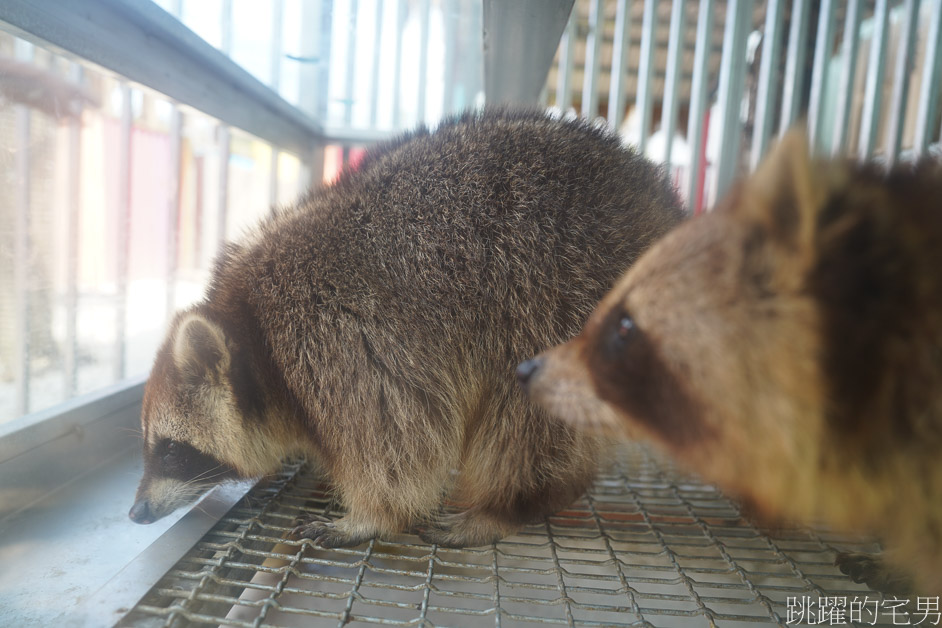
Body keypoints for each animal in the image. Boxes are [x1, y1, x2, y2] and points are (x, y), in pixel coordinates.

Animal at [129, 109, 684, 548]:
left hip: (560, 297)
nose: (136, 513)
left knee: (523, 425)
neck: (251, 327)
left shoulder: (336, 333)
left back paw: (510, 503)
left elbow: (398, 440)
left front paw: (372, 516)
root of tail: (666, 213)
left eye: (172, 450)